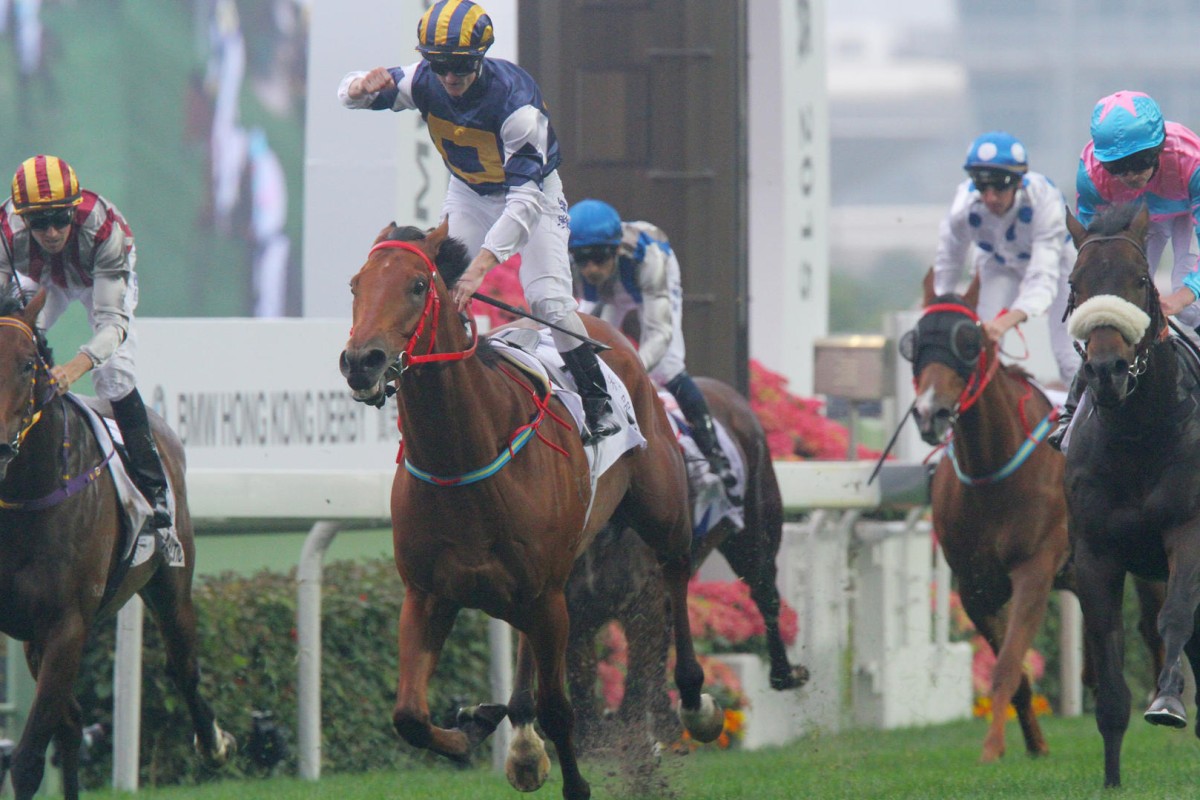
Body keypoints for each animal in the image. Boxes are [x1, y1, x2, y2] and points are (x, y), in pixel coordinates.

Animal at [0, 291, 231, 800]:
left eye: (27, 365)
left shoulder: (67, 625)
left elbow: (27, 760)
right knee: (71, 723)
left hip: (171, 585)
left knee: (183, 668)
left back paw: (213, 744)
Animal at [336, 220, 720, 800]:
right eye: (356, 285)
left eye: (418, 286)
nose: (362, 361)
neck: (462, 456)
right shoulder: (427, 592)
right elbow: (408, 715)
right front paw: (475, 728)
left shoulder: (548, 596)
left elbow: (559, 709)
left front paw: (574, 782)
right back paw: (519, 738)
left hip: (661, 510)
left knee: (674, 573)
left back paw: (696, 704)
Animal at [566, 379, 811, 748]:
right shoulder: (577, 611)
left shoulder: (644, 600)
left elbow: (636, 684)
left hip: (754, 536)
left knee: (765, 594)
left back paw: (784, 673)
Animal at [907, 273, 1070, 762]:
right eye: (915, 341)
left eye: (968, 342)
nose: (931, 412)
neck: (991, 471)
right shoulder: (975, 587)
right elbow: (1013, 671)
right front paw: (1035, 744)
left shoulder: (1036, 569)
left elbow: (1008, 664)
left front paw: (993, 747)